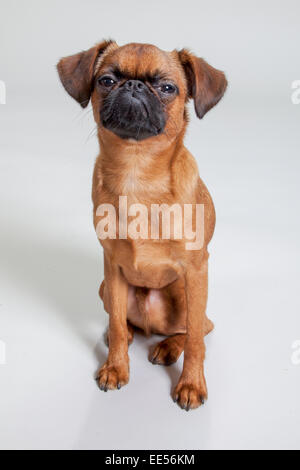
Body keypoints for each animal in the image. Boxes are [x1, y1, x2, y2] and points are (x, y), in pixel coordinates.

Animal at [56, 40, 227, 410]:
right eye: (106, 81)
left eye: (167, 88)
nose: (133, 86)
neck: (137, 171)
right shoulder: (112, 265)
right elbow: (118, 324)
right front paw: (116, 367)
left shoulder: (197, 269)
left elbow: (196, 339)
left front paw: (191, 383)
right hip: (106, 288)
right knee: (121, 321)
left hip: (184, 294)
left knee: (199, 326)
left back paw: (168, 347)